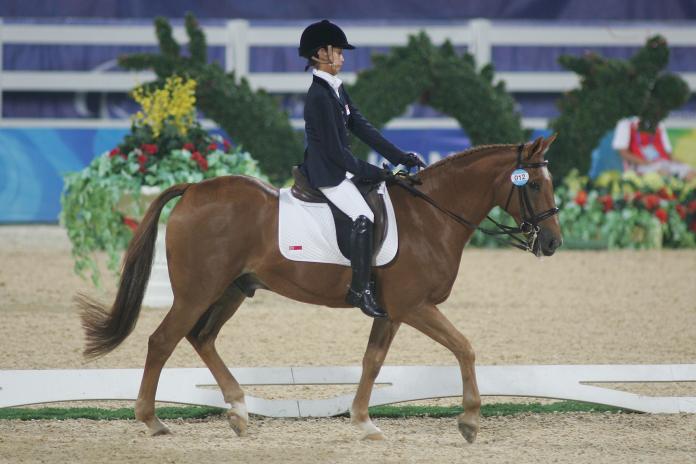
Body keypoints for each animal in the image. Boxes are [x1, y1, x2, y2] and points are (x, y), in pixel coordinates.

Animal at [79, 134, 564, 442]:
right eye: (536, 185)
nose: (553, 243)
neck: (432, 215)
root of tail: (194, 188)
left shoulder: (391, 312)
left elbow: (372, 362)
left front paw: (363, 422)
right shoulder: (414, 306)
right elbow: (465, 347)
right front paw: (469, 421)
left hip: (232, 290)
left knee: (202, 338)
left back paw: (238, 411)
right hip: (196, 292)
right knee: (163, 341)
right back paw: (153, 421)